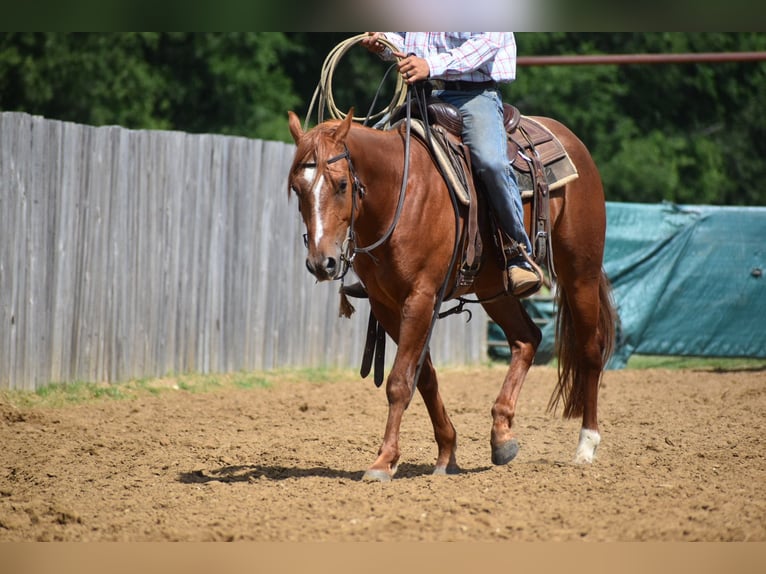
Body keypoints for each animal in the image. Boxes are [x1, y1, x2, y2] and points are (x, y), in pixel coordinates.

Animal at [286, 104, 617, 482]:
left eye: (342, 184)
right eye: (298, 188)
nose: (320, 263)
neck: (400, 194)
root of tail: (570, 141)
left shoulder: (420, 297)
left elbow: (399, 381)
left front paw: (384, 461)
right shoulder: (387, 304)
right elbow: (425, 378)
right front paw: (447, 453)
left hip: (580, 273)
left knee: (590, 351)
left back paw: (586, 445)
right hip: (496, 290)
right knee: (527, 339)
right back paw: (501, 436)